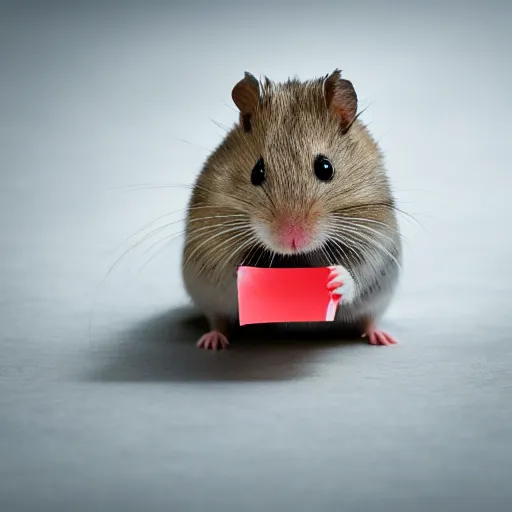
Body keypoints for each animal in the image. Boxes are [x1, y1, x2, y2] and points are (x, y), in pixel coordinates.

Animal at [182, 70, 402, 350]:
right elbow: (234, 272)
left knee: (368, 320)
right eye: (257, 172)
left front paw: (336, 280)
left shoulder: (374, 239)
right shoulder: (213, 237)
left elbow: (357, 275)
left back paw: (383, 338)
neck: (295, 258)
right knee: (217, 320)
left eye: (326, 168)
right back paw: (212, 342)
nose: (292, 240)